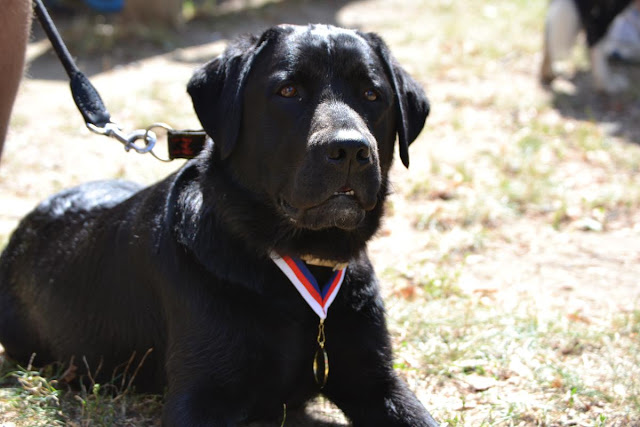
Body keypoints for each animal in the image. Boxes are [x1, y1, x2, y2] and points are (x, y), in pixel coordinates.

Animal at [0, 24, 436, 427]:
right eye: (288, 91)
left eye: (372, 95)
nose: (350, 150)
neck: (303, 261)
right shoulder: (201, 397)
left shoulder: (377, 381)